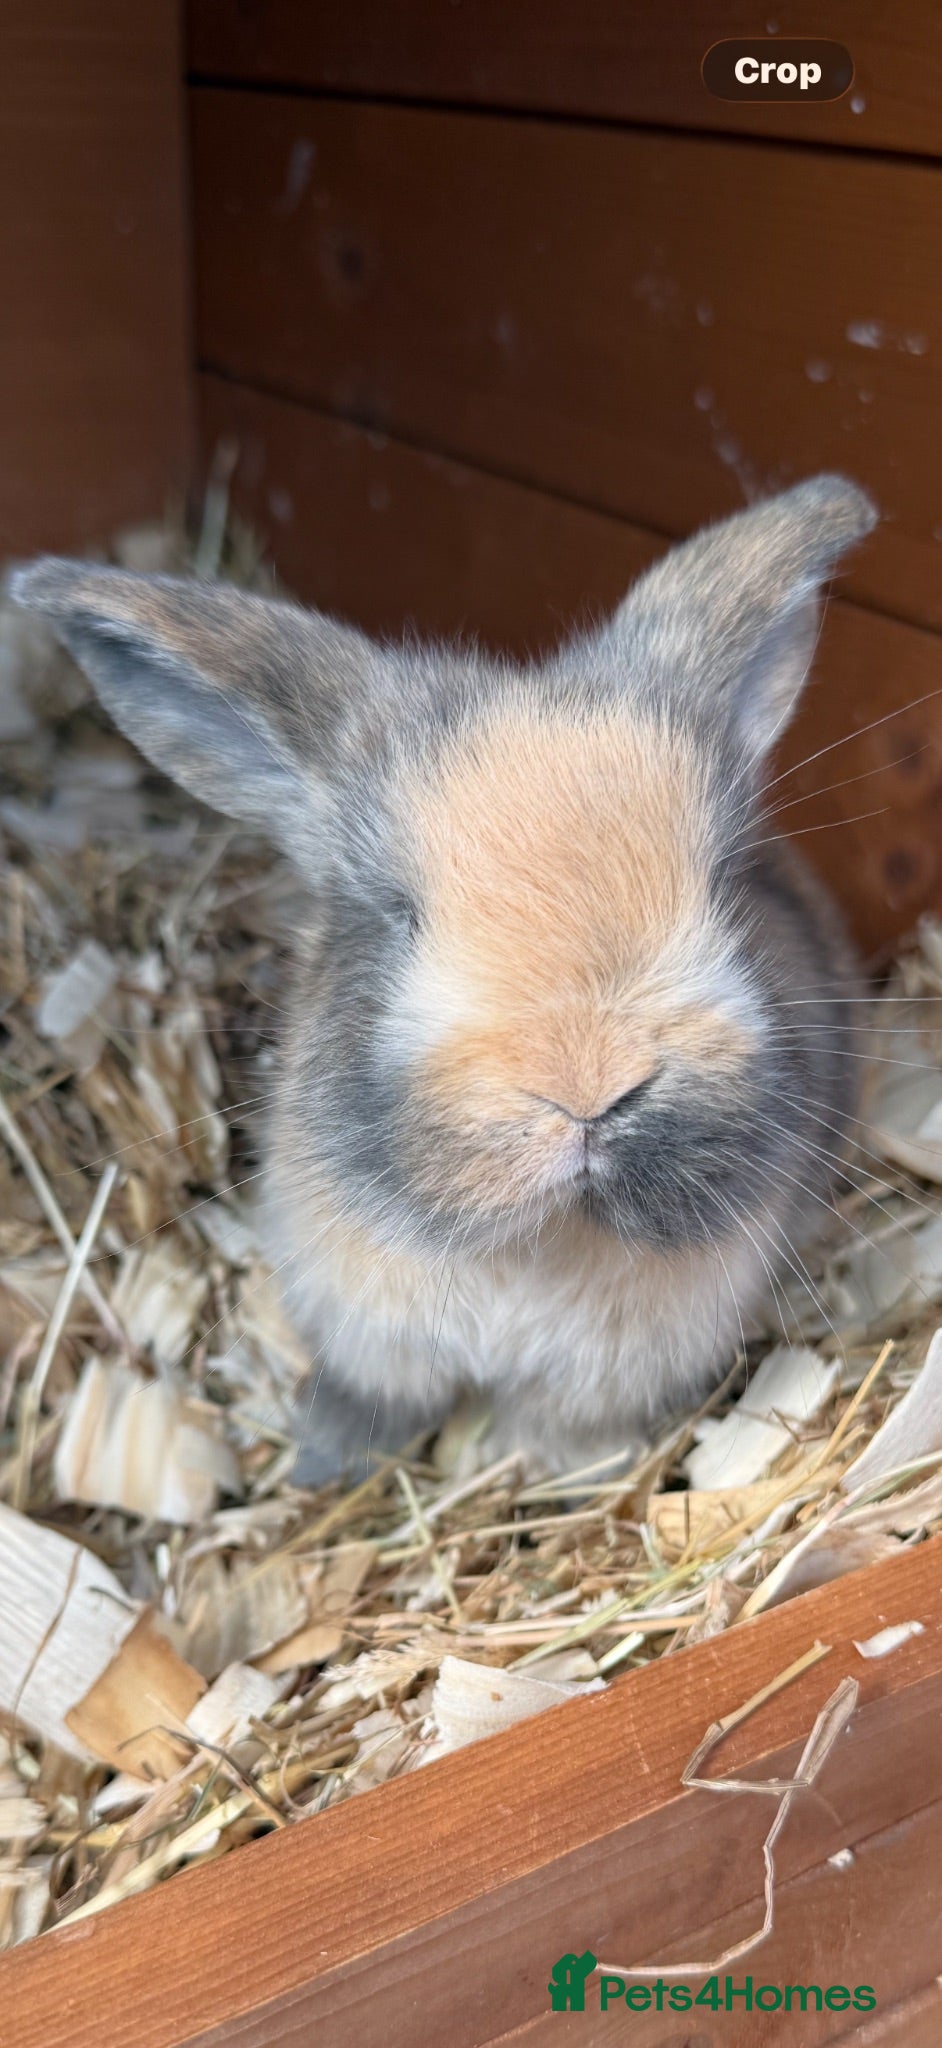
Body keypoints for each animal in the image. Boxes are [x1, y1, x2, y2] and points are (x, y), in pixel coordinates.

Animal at [13, 474, 877, 1480]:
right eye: (393, 911)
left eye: (724, 881)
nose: (585, 1090)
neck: (541, 1244)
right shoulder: (367, 1329)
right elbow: (371, 1402)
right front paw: (322, 1469)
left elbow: (557, 1436)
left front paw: (549, 1479)